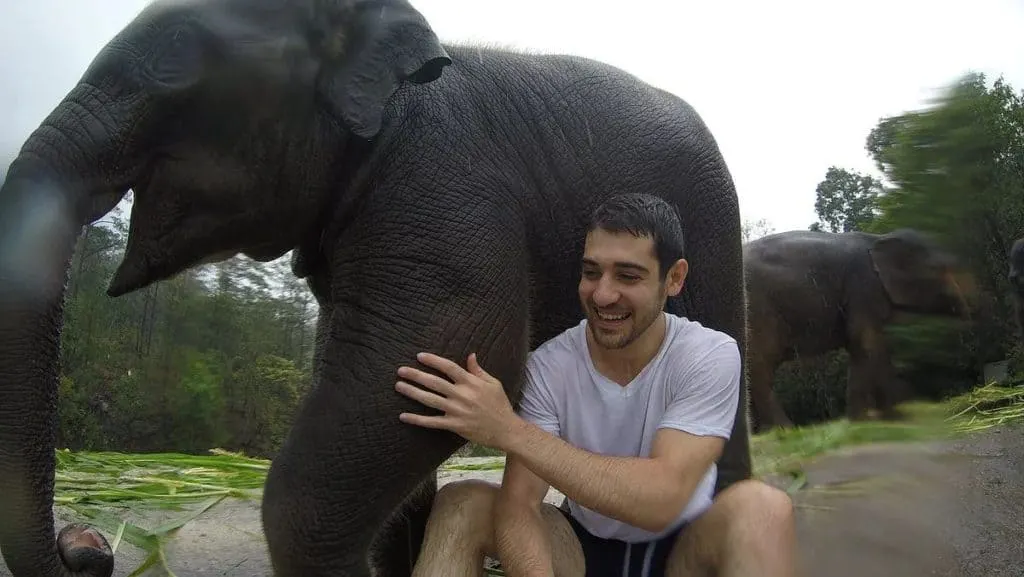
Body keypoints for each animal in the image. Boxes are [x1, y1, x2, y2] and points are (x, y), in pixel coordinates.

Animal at [741, 228, 970, 430]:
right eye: (941, 268)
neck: (879, 237)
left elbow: (876, 346)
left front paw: (890, 418)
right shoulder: (863, 287)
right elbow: (866, 343)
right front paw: (867, 422)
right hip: (758, 310)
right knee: (761, 365)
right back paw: (785, 430)